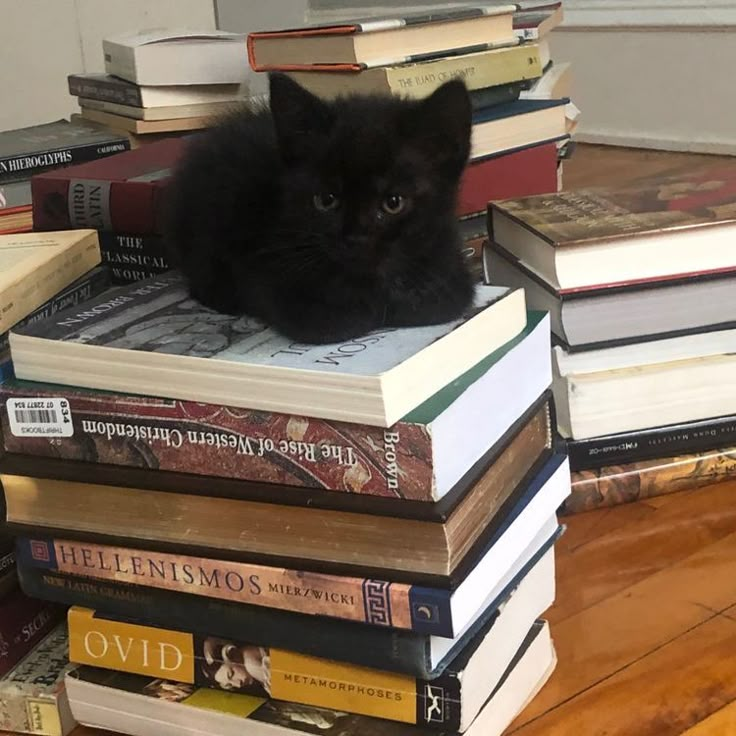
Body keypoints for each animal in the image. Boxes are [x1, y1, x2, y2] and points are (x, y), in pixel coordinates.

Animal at [165, 73, 474, 344]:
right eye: (326, 200)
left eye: (393, 202)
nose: (355, 238)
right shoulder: (263, 269)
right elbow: (328, 321)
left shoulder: (449, 265)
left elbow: (435, 302)